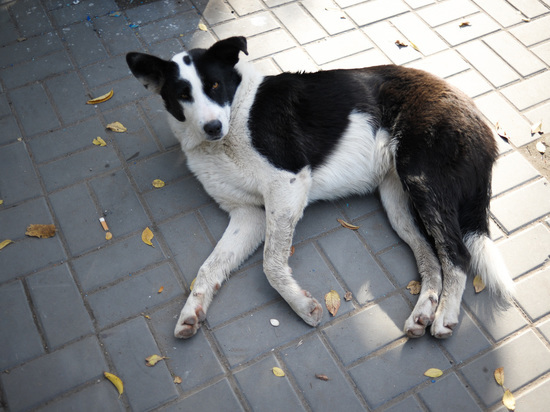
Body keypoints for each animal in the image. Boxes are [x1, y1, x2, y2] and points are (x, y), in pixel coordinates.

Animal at [127, 36, 516, 338]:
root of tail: (478, 117)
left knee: (457, 254)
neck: (237, 116)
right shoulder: (247, 215)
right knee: (432, 258)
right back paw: (423, 312)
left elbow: (271, 264)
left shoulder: (288, 183)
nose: (212, 127)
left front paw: (302, 307)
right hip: (398, 201)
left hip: (422, 181)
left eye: (214, 86)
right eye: (182, 94)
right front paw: (191, 313)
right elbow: (208, 268)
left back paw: (445, 316)